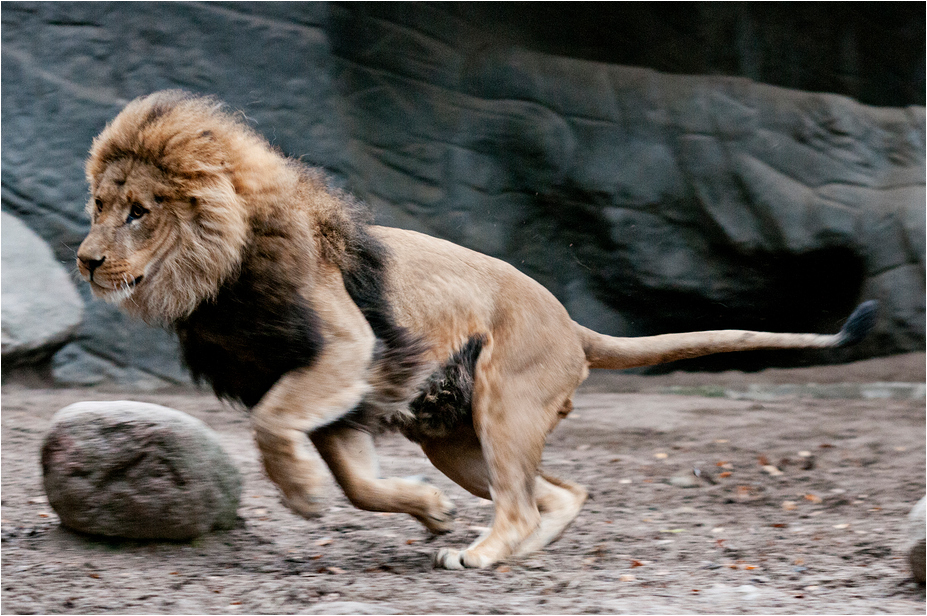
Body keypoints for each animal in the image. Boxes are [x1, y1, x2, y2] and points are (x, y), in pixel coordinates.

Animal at [76, 90, 877, 569]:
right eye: (98, 205)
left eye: (139, 211)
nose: (85, 260)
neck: (216, 283)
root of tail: (571, 323)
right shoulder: (344, 393)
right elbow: (359, 483)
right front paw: (423, 511)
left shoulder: (348, 350)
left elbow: (275, 425)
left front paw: (301, 493)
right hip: (456, 440)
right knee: (559, 492)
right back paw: (507, 547)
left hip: (502, 403)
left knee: (522, 500)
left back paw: (485, 555)